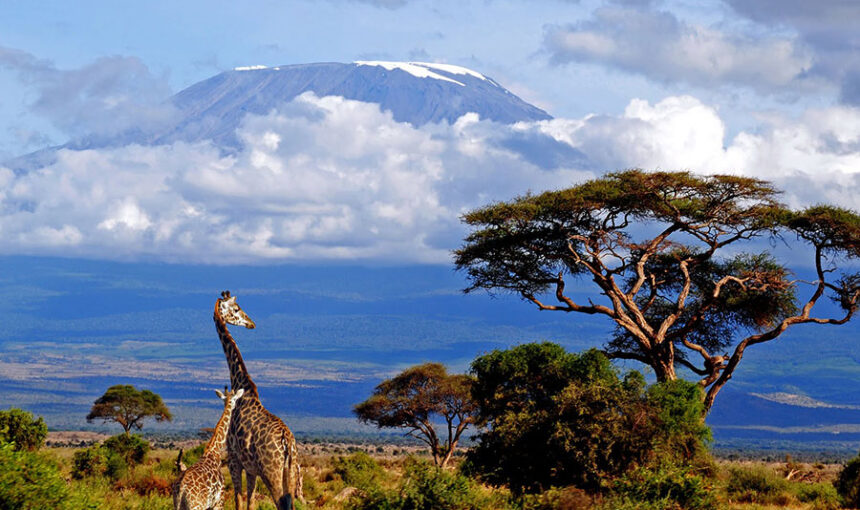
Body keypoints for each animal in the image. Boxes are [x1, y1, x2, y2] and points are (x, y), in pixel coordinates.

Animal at [215, 290, 302, 510]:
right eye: (237, 309)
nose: (251, 323)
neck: (241, 384)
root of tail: (287, 442)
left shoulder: (234, 460)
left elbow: (239, 501)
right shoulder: (250, 468)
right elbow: (250, 502)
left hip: (271, 472)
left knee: (281, 503)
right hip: (291, 470)